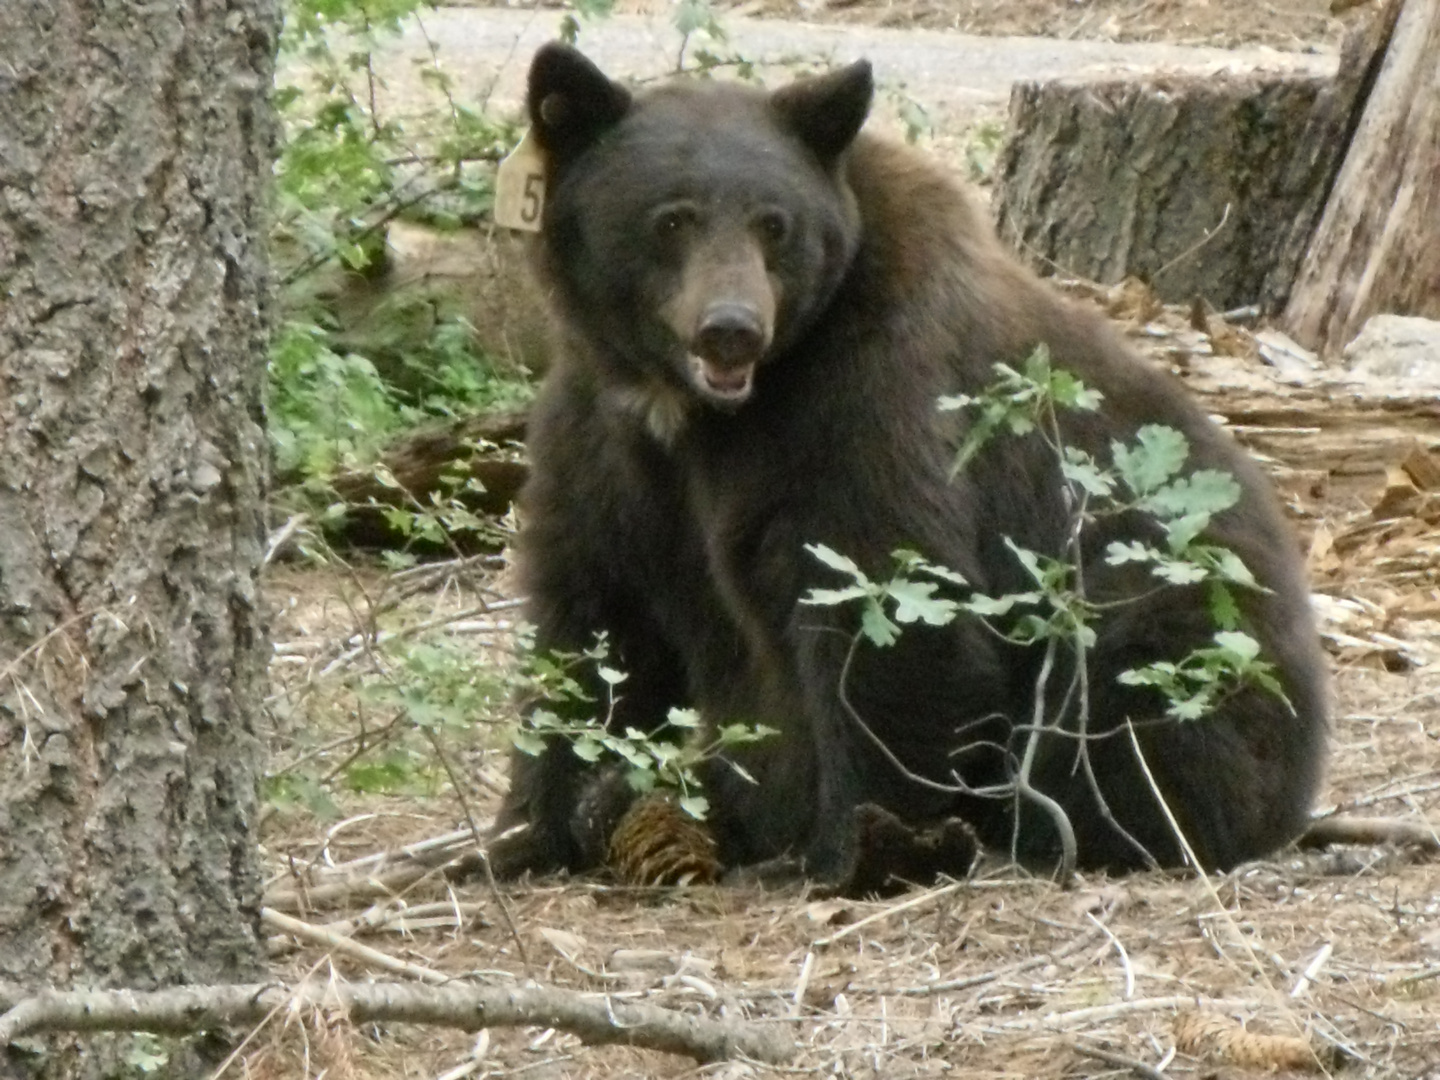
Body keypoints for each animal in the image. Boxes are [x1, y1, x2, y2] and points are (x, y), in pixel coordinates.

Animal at [489, 40, 1330, 887]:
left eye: (774, 224)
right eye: (672, 219)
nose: (732, 327)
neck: (694, 413)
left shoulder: (869, 401)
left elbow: (890, 607)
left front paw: (855, 845)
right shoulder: (600, 439)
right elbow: (589, 628)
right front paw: (517, 833)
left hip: (1180, 634)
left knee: (1134, 722)